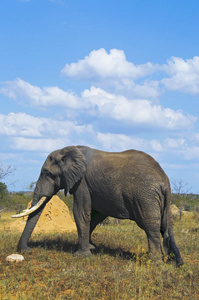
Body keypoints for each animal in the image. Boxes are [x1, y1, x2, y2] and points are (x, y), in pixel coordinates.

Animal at [12, 145, 183, 264]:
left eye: (47, 173)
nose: (28, 250)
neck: (68, 149)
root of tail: (165, 181)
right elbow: (95, 216)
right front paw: (91, 248)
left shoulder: (82, 183)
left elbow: (81, 212)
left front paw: (81, 255)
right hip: (160, 200)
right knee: (166, 226)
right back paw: (176, 262)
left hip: (145, 197)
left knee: (151, 227)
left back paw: (154, 262)